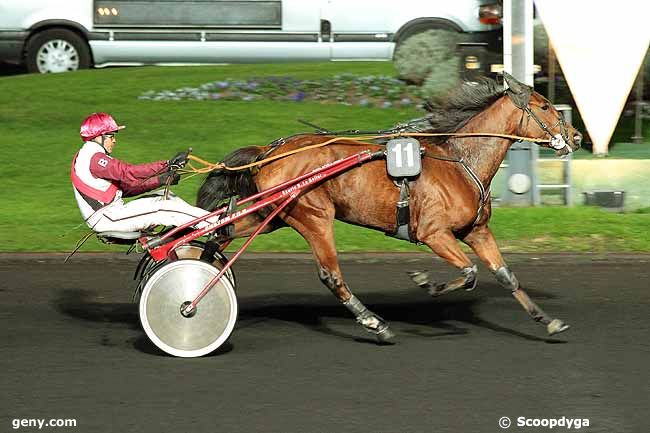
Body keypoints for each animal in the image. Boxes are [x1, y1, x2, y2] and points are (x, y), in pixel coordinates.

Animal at [197, 72, 584, 342]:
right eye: (545, 106)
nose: (578, 136)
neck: (460, 161)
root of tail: (270, 150)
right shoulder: (433, 233)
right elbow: (469, 272)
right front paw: (427, 283)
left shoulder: (476, 230)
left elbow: (506, 276)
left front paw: (547, 320)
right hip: (314, 215)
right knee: (331, 275)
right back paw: (374, 323)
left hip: (271, 214)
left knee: (222, 232)